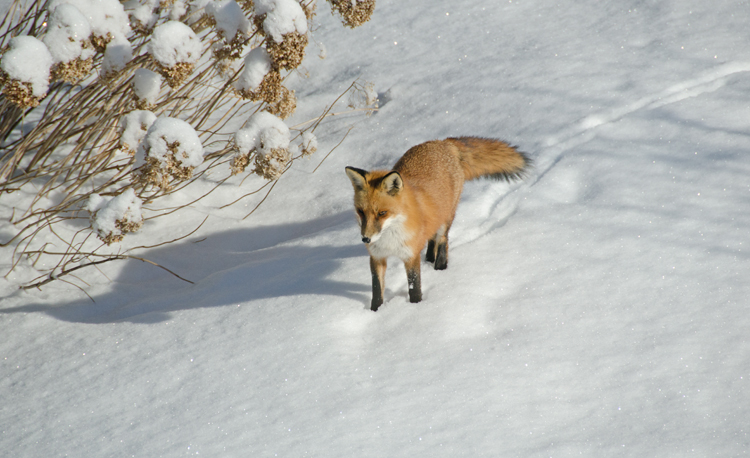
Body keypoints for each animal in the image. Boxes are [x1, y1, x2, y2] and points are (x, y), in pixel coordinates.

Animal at [345, 136, 532, 311]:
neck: (390, 239)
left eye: (382, 213)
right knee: (432, 239)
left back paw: (440, 267)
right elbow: (377, 291)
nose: (366, 239)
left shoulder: (411, 256)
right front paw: (375, 312)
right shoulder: (377, 257)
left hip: (447, 217)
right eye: (361, 212)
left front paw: (416, 307)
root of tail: (443, 142)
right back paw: (429, 257)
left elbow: (414, 287)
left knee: (443, 240)